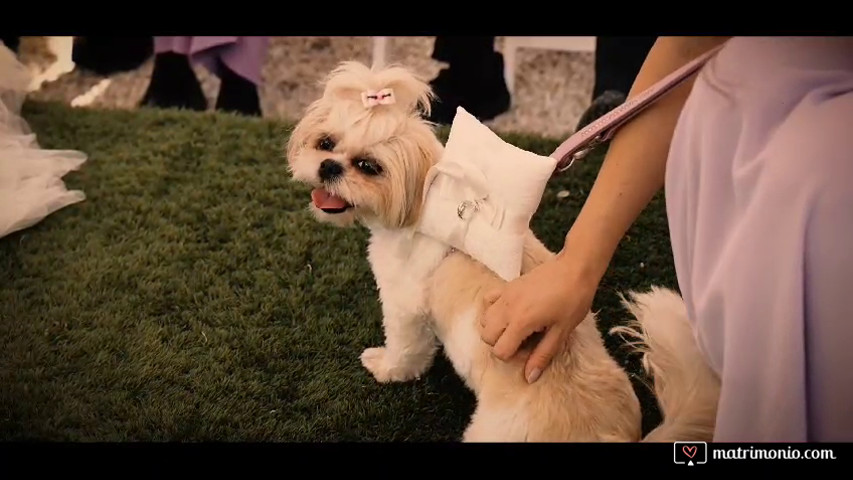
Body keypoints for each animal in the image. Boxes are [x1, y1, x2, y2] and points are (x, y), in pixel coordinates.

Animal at [286, 61, 720, 442]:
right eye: (325, 143)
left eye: (368, 166)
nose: (328, 167)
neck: (425, 200)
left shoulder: (404, 307)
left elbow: (405, 350)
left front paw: (387, 368)